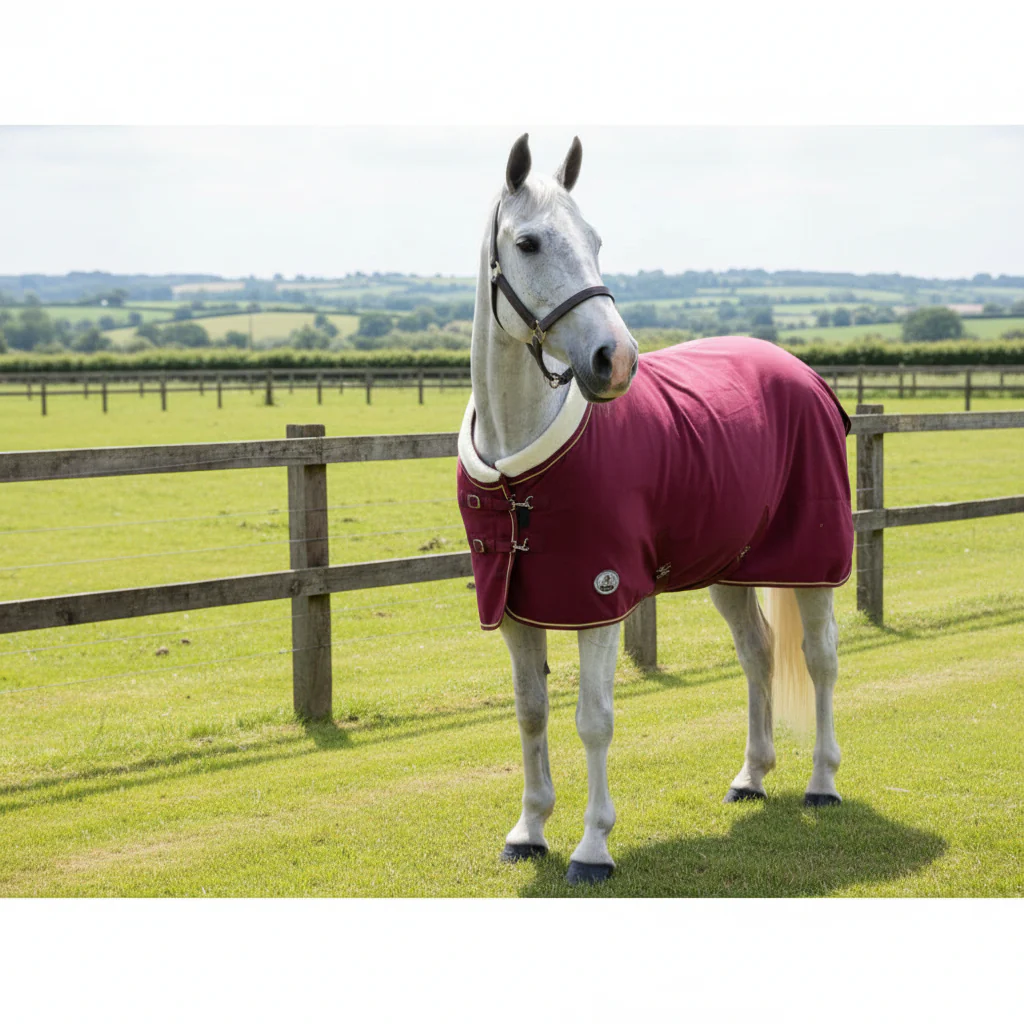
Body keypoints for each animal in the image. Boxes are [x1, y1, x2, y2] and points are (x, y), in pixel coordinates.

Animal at [457, 133, 852, 885]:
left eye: (595, 239)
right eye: (527, 242)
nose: (615, 360)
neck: (519, 466)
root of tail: (805, 374)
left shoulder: (600, 597)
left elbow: (593, 719)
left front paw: (592, 848)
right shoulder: (515, 604)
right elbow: (530, 713)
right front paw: (528, 831)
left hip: (813, 565)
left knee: (818, 660)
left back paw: (821, 783)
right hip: (732, 569)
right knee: (757, 652)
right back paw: (751, 777)